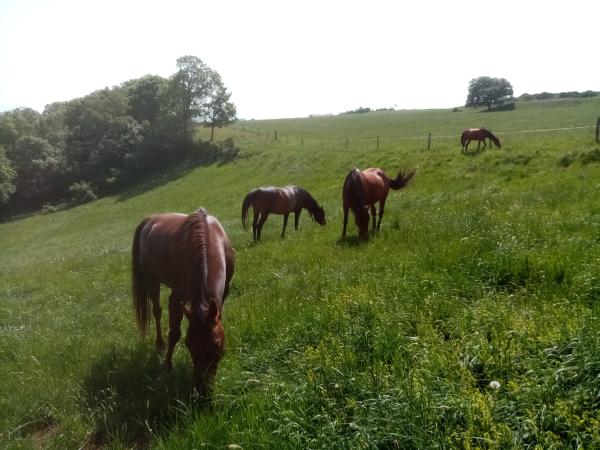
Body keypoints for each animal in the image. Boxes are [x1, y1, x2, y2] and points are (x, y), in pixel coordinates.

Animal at [131, 209, 234, 396]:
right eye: (188, 344)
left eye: (216, 345)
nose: (202, 391)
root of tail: (150, 220)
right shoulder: (177, 297)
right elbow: (174, 333)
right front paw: (167, 367)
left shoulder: (224, 293)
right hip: (152, 280)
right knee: (157, 311)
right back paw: (159, 344)